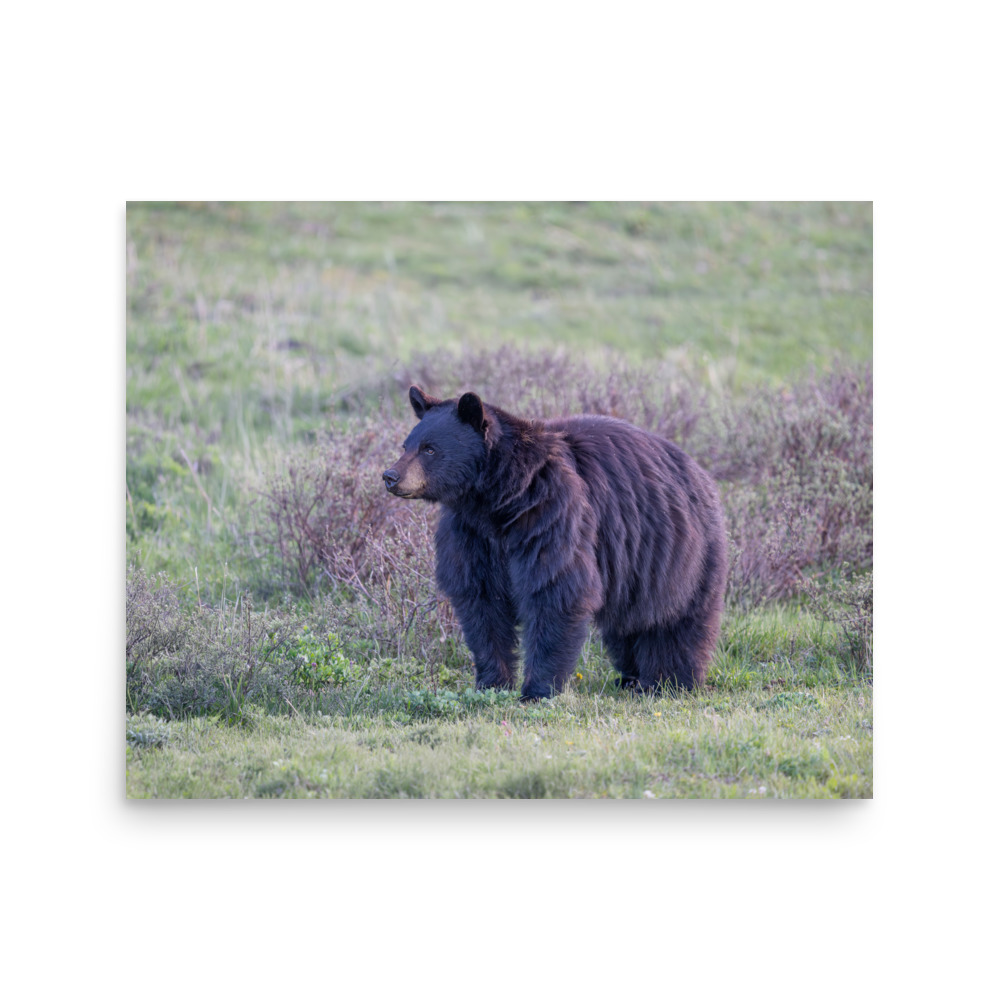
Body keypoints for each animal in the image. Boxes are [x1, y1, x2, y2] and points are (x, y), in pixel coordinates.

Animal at [382, 385, 727, 700]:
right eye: (406, 444)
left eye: (429, 449)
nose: (390, 476)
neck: (498, 500)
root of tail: (700, 473)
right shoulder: (471, 535)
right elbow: (481, 601)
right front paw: (491, 683)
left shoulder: (551, 514)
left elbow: (555, 589)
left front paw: (537, 690)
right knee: (628, 624)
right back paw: (630, 678)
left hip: (681, 553)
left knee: (677, 620)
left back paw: (669, 681)